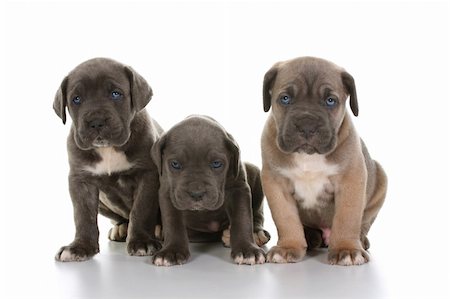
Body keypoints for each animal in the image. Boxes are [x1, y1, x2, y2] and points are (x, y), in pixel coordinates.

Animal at [54, 57, 163, 262]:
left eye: (115, 94)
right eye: (76, 99)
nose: (96, 122)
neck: (108, 149)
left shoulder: (147, 174)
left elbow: (141, 209)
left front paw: (142, 242)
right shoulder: (80, 180)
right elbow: (83, 216)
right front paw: (80, 247)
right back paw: (122, 228)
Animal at [151, 116, 270, 266]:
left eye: (216, 164)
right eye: (175, 164)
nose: (196, 194)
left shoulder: (239, 189)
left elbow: (243, 218)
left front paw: (247, 250)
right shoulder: (168, 192)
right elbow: (172, 221)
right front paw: (171, 251)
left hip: (256, 174)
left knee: (257, 213)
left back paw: (255, 234)